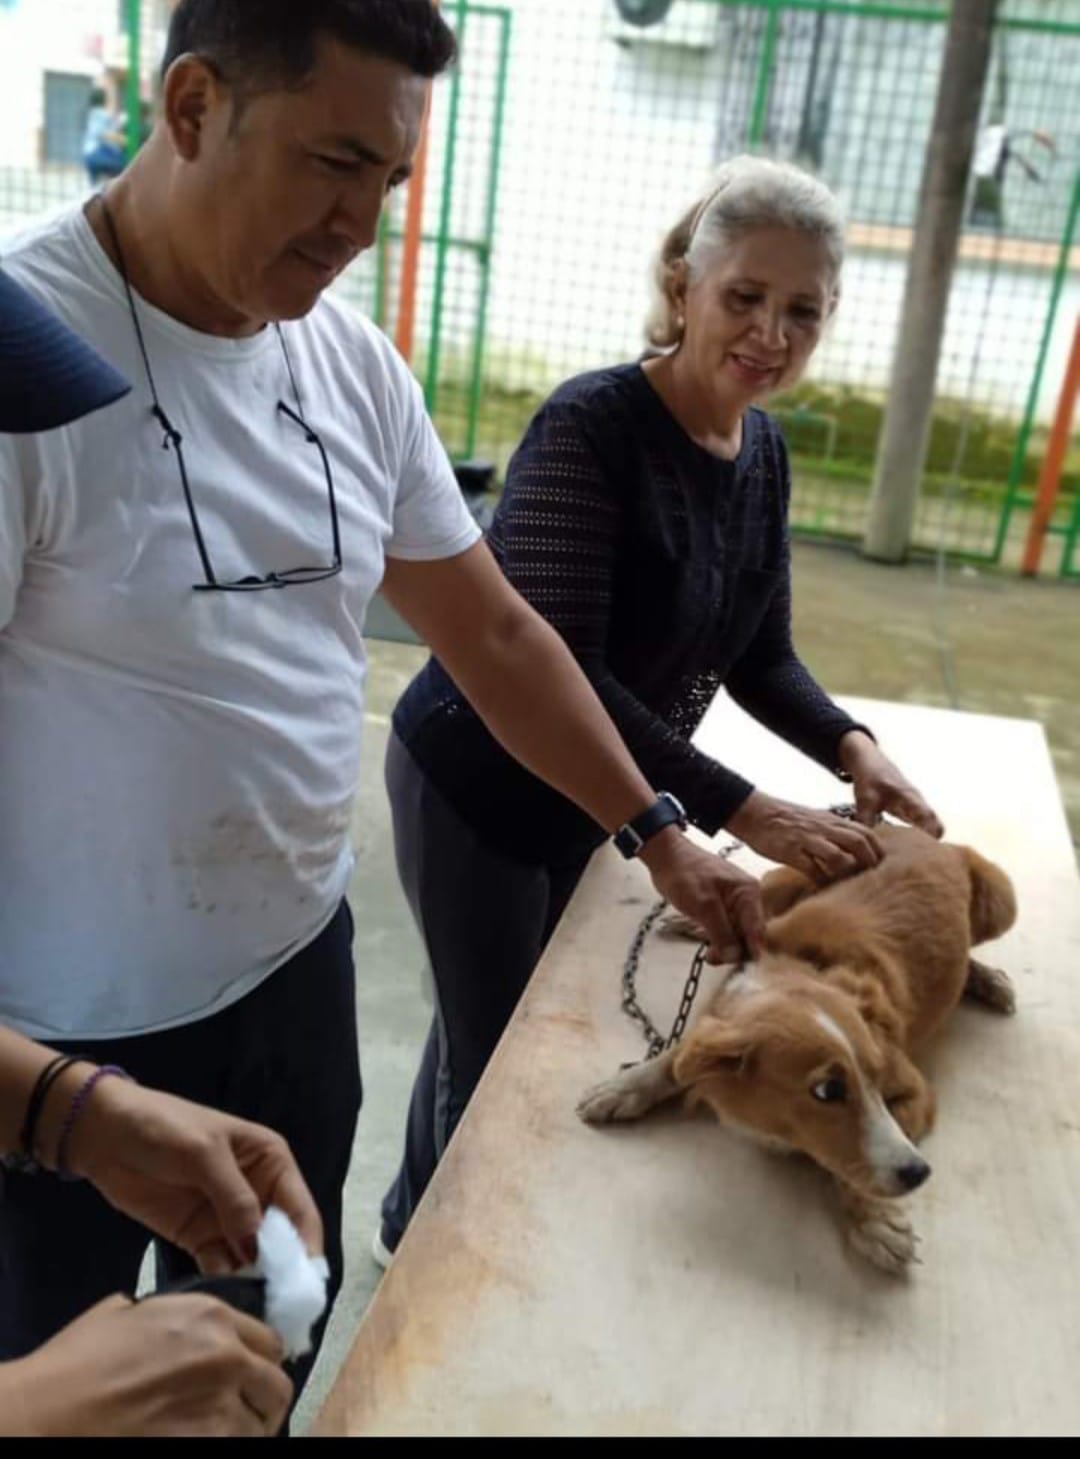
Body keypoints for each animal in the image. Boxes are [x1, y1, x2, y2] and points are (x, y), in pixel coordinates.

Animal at [577, 824, 1017, 1274]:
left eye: (878, 1077)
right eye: (827, 1090)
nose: (920, 1173)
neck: (798, 974)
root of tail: (925, 836)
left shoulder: (915, 1090)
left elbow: (858, 1164)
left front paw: (875, 1218)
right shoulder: (718, 1019)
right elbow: (675, 1058)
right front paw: (626, 1087)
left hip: (1002, 900)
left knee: (969, 951)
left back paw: (987, 980)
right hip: (780, 882)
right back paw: (697, 925)